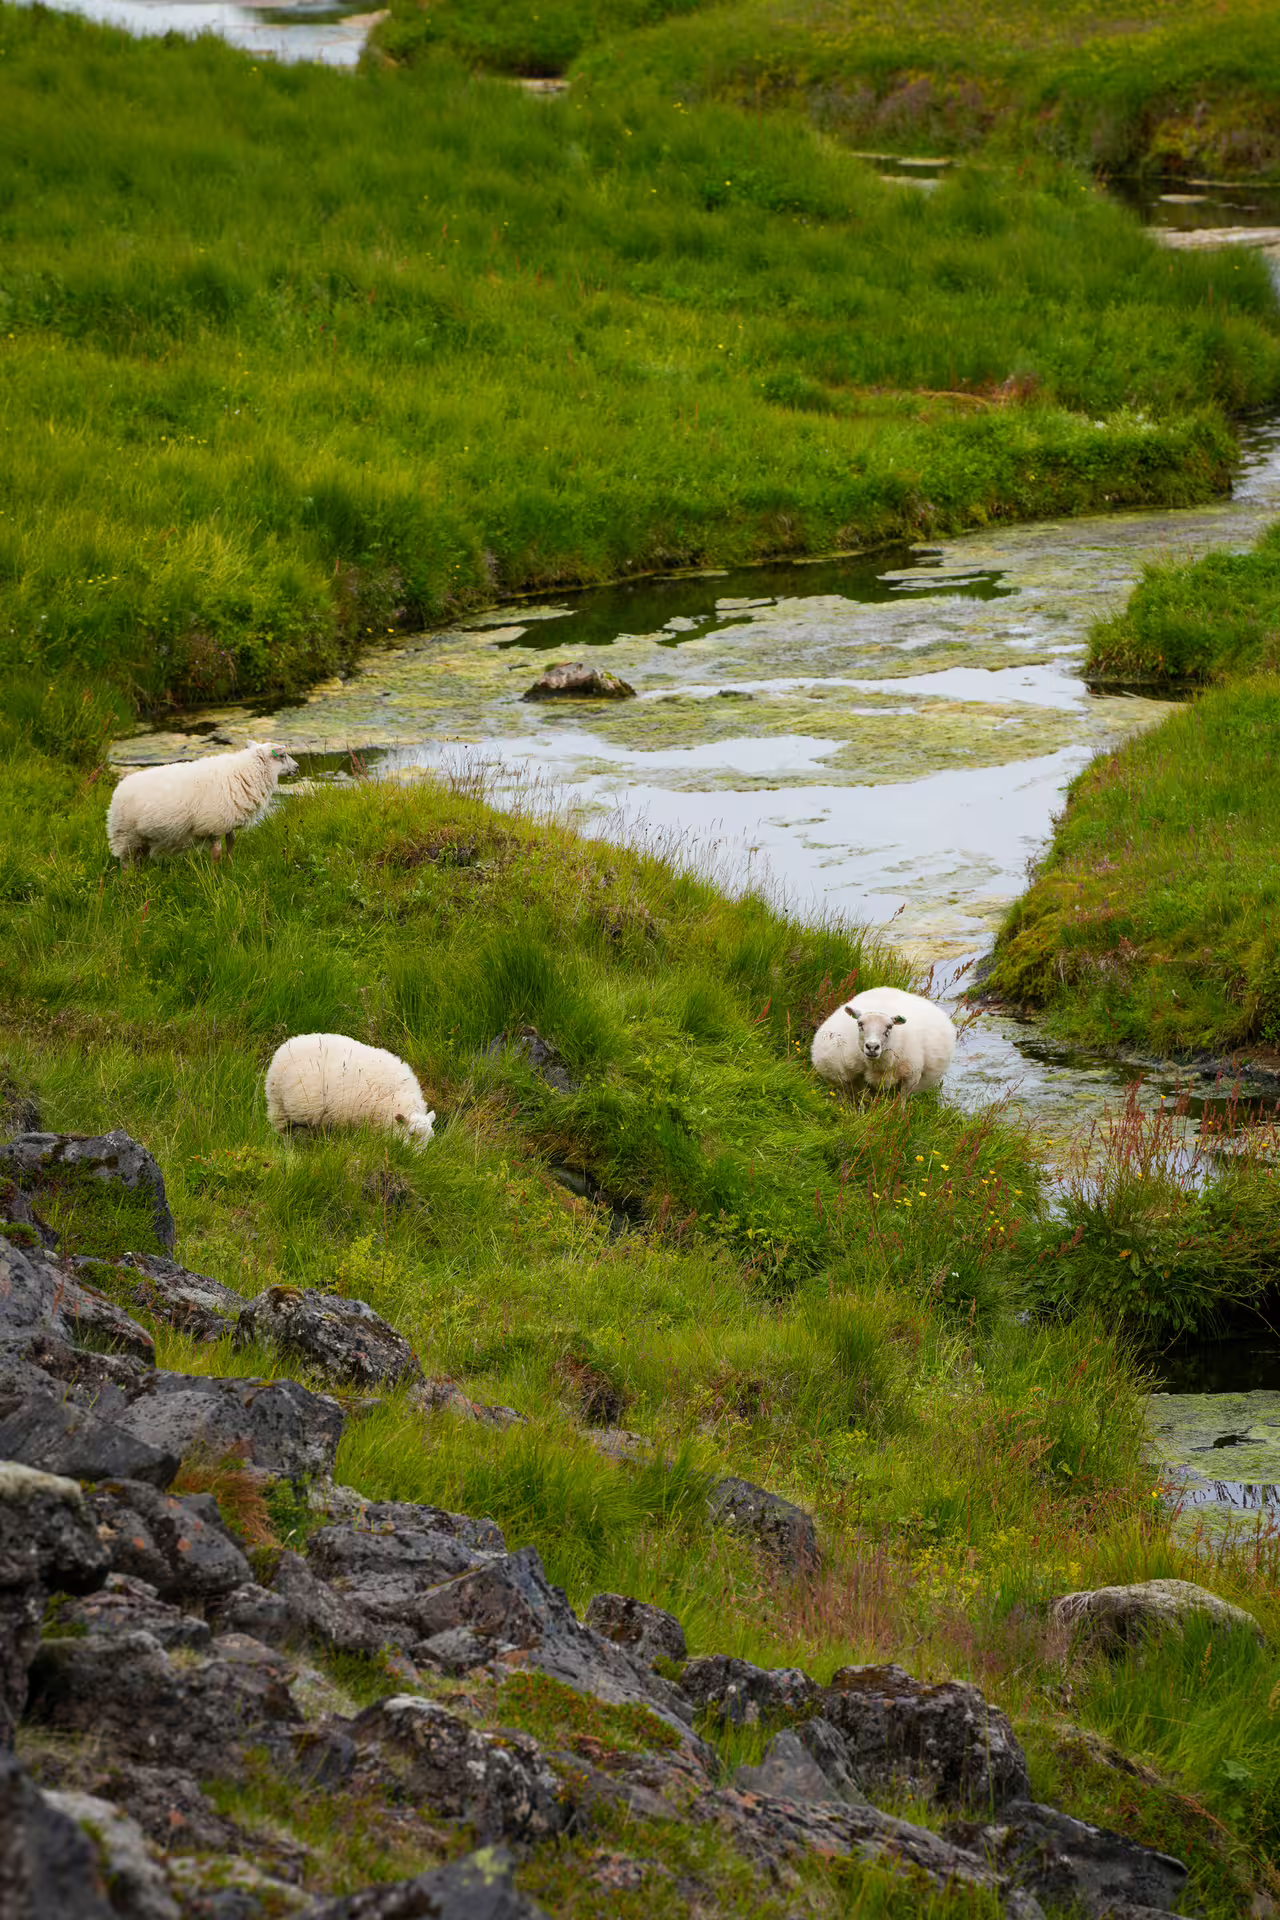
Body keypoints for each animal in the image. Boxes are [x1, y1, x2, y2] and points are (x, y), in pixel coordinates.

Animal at [106, 742, 299, 867]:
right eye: (282, 755)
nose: (297, 767)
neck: (244, 772)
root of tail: (118, 790)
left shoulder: (228, 820)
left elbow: (231, 843)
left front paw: (230, 868)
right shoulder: (214, 825)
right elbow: (217, 854)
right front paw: (217, 878)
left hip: (141, 840)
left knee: (138, 861)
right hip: (125, 836)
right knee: (126, 864)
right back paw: (129, 884)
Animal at [265, 1034, 436, 1149]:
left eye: (430, 1138)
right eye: (411, 1134)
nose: (415, 1160)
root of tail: (290, 1042)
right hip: (279, 1106)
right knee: (284, 1133)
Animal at [811, 986, 956, 1097]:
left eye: (890, 1027)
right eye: (860, 1024)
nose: (872, 1047)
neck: (878, 1065)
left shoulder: (910, 1077)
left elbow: (900, 1101)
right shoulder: (854, 1075)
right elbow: (865, 1098)